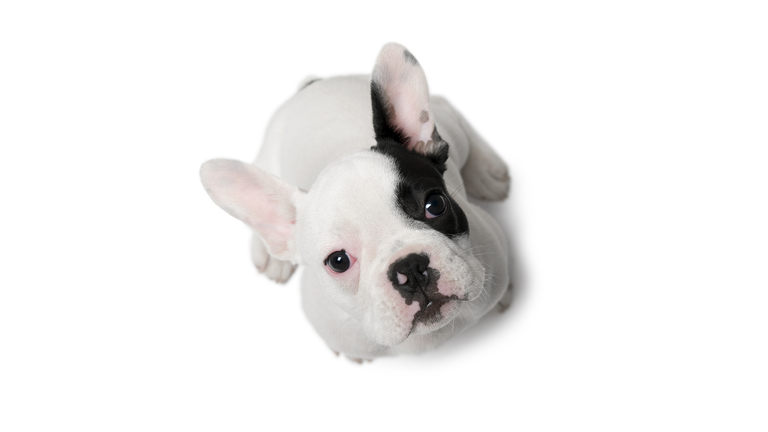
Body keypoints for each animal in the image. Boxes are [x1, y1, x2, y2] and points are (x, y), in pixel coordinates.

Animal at [200, 43, 510, 362]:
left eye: (435, 205)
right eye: (339, 262)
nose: (410, 268)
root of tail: (313, 85)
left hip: (449, 127)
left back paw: (485, 171)